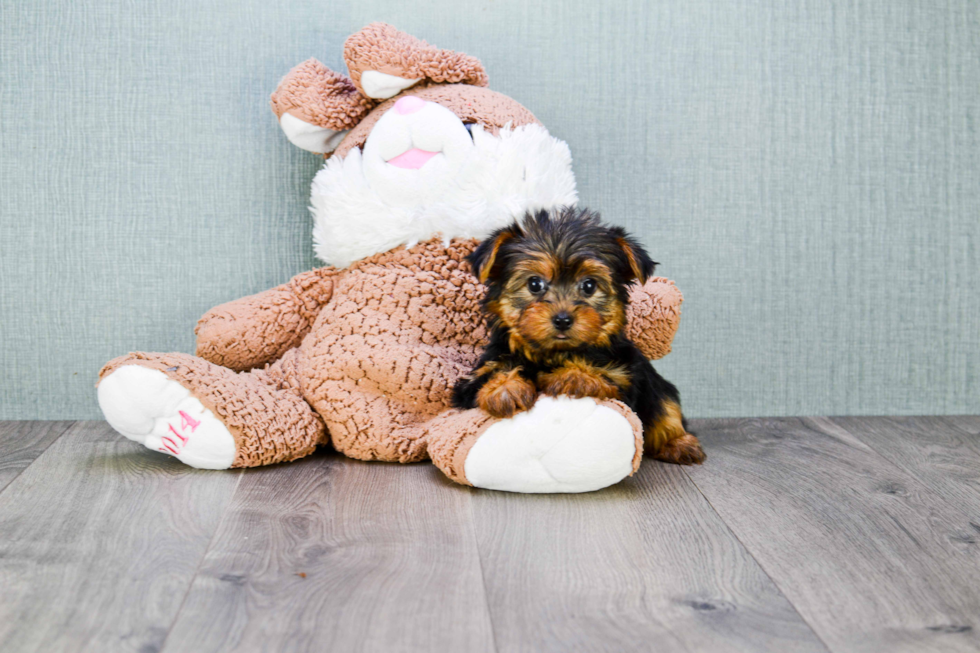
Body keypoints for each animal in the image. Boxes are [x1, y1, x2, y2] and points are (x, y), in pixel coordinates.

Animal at [452, 205, 704, 464]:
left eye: (589, 285)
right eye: (534, 284)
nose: (563, 319)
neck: (553, 354)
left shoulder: (624, 380)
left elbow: (603, 378)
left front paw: (573, 376)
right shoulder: (474, 379)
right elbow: (490, 376)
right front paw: (504, 389)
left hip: (655, 387)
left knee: (665, 406)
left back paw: (678, 443)